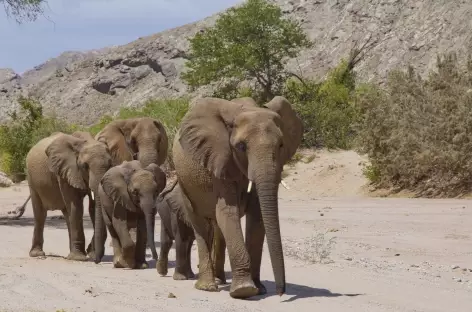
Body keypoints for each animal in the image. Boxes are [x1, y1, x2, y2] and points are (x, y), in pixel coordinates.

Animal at [23, 130, 112, 260]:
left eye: (110, 165)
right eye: (85, 166)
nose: (96, 259)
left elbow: (93, 207)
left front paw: (89, 253)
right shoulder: (65, 172)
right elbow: (76, 206)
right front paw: (79, 258)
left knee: (66, 213)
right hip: (32, 180)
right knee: (40, 214)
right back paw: (37, 254)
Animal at [173, 96, 302, 298]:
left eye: (281, 145)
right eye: (241, 147)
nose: (281, 292)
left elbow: (257, 215)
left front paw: (259, 289)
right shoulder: (219, 159)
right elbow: (227, 211)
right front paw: (244, 290)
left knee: (218, 228)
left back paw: (219, 280)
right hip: (184, 182)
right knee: (200, 224)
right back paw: (207, 287)